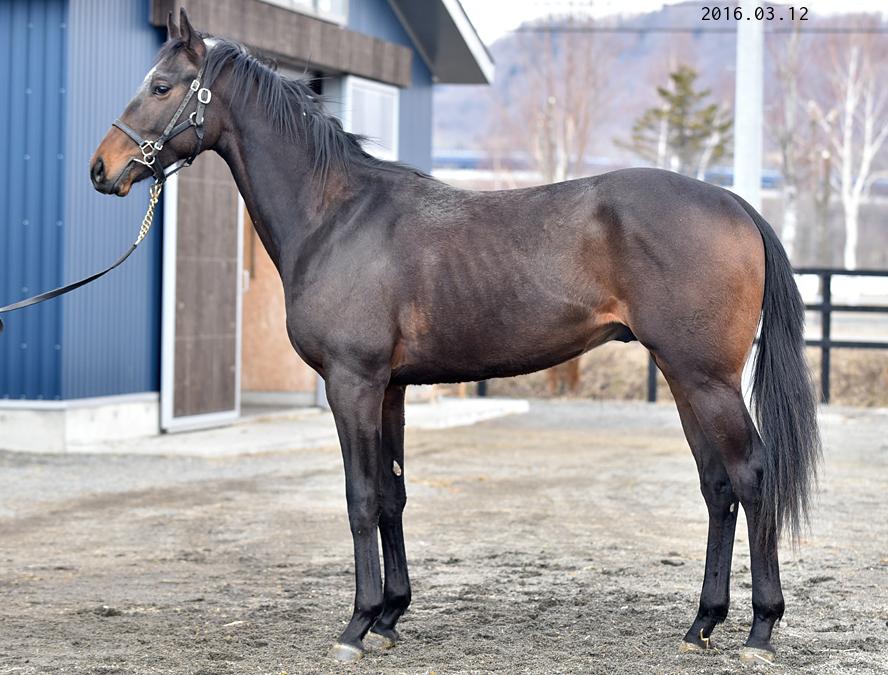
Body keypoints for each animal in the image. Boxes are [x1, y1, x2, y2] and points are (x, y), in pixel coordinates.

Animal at [90, 9, 820, 665]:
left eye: (161, 86)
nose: (102, 168)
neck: (337, 215)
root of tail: (737, 205)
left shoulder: (353, 385)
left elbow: (360, 498)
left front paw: (355, 625)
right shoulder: (389, 390)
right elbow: (391, 496)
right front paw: (389, 616)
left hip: (706, 378)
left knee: (751, 476)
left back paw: (760, 629)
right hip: (682, 376)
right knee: (717, 487)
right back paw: (702, 624)